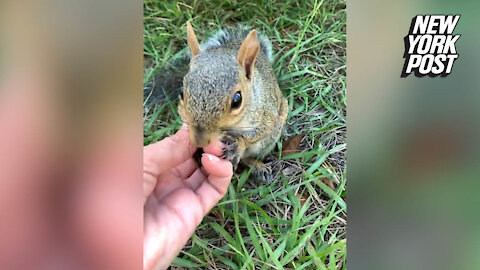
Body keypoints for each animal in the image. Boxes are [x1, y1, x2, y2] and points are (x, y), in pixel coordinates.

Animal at [146, 22, 286, 184]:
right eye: (182, 92)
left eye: (237, 100)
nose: (199, 141)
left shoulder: (266, 114)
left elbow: (262, 130)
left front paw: (238, 145)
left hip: (269, 139)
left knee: (249, 155)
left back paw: (258, 166)